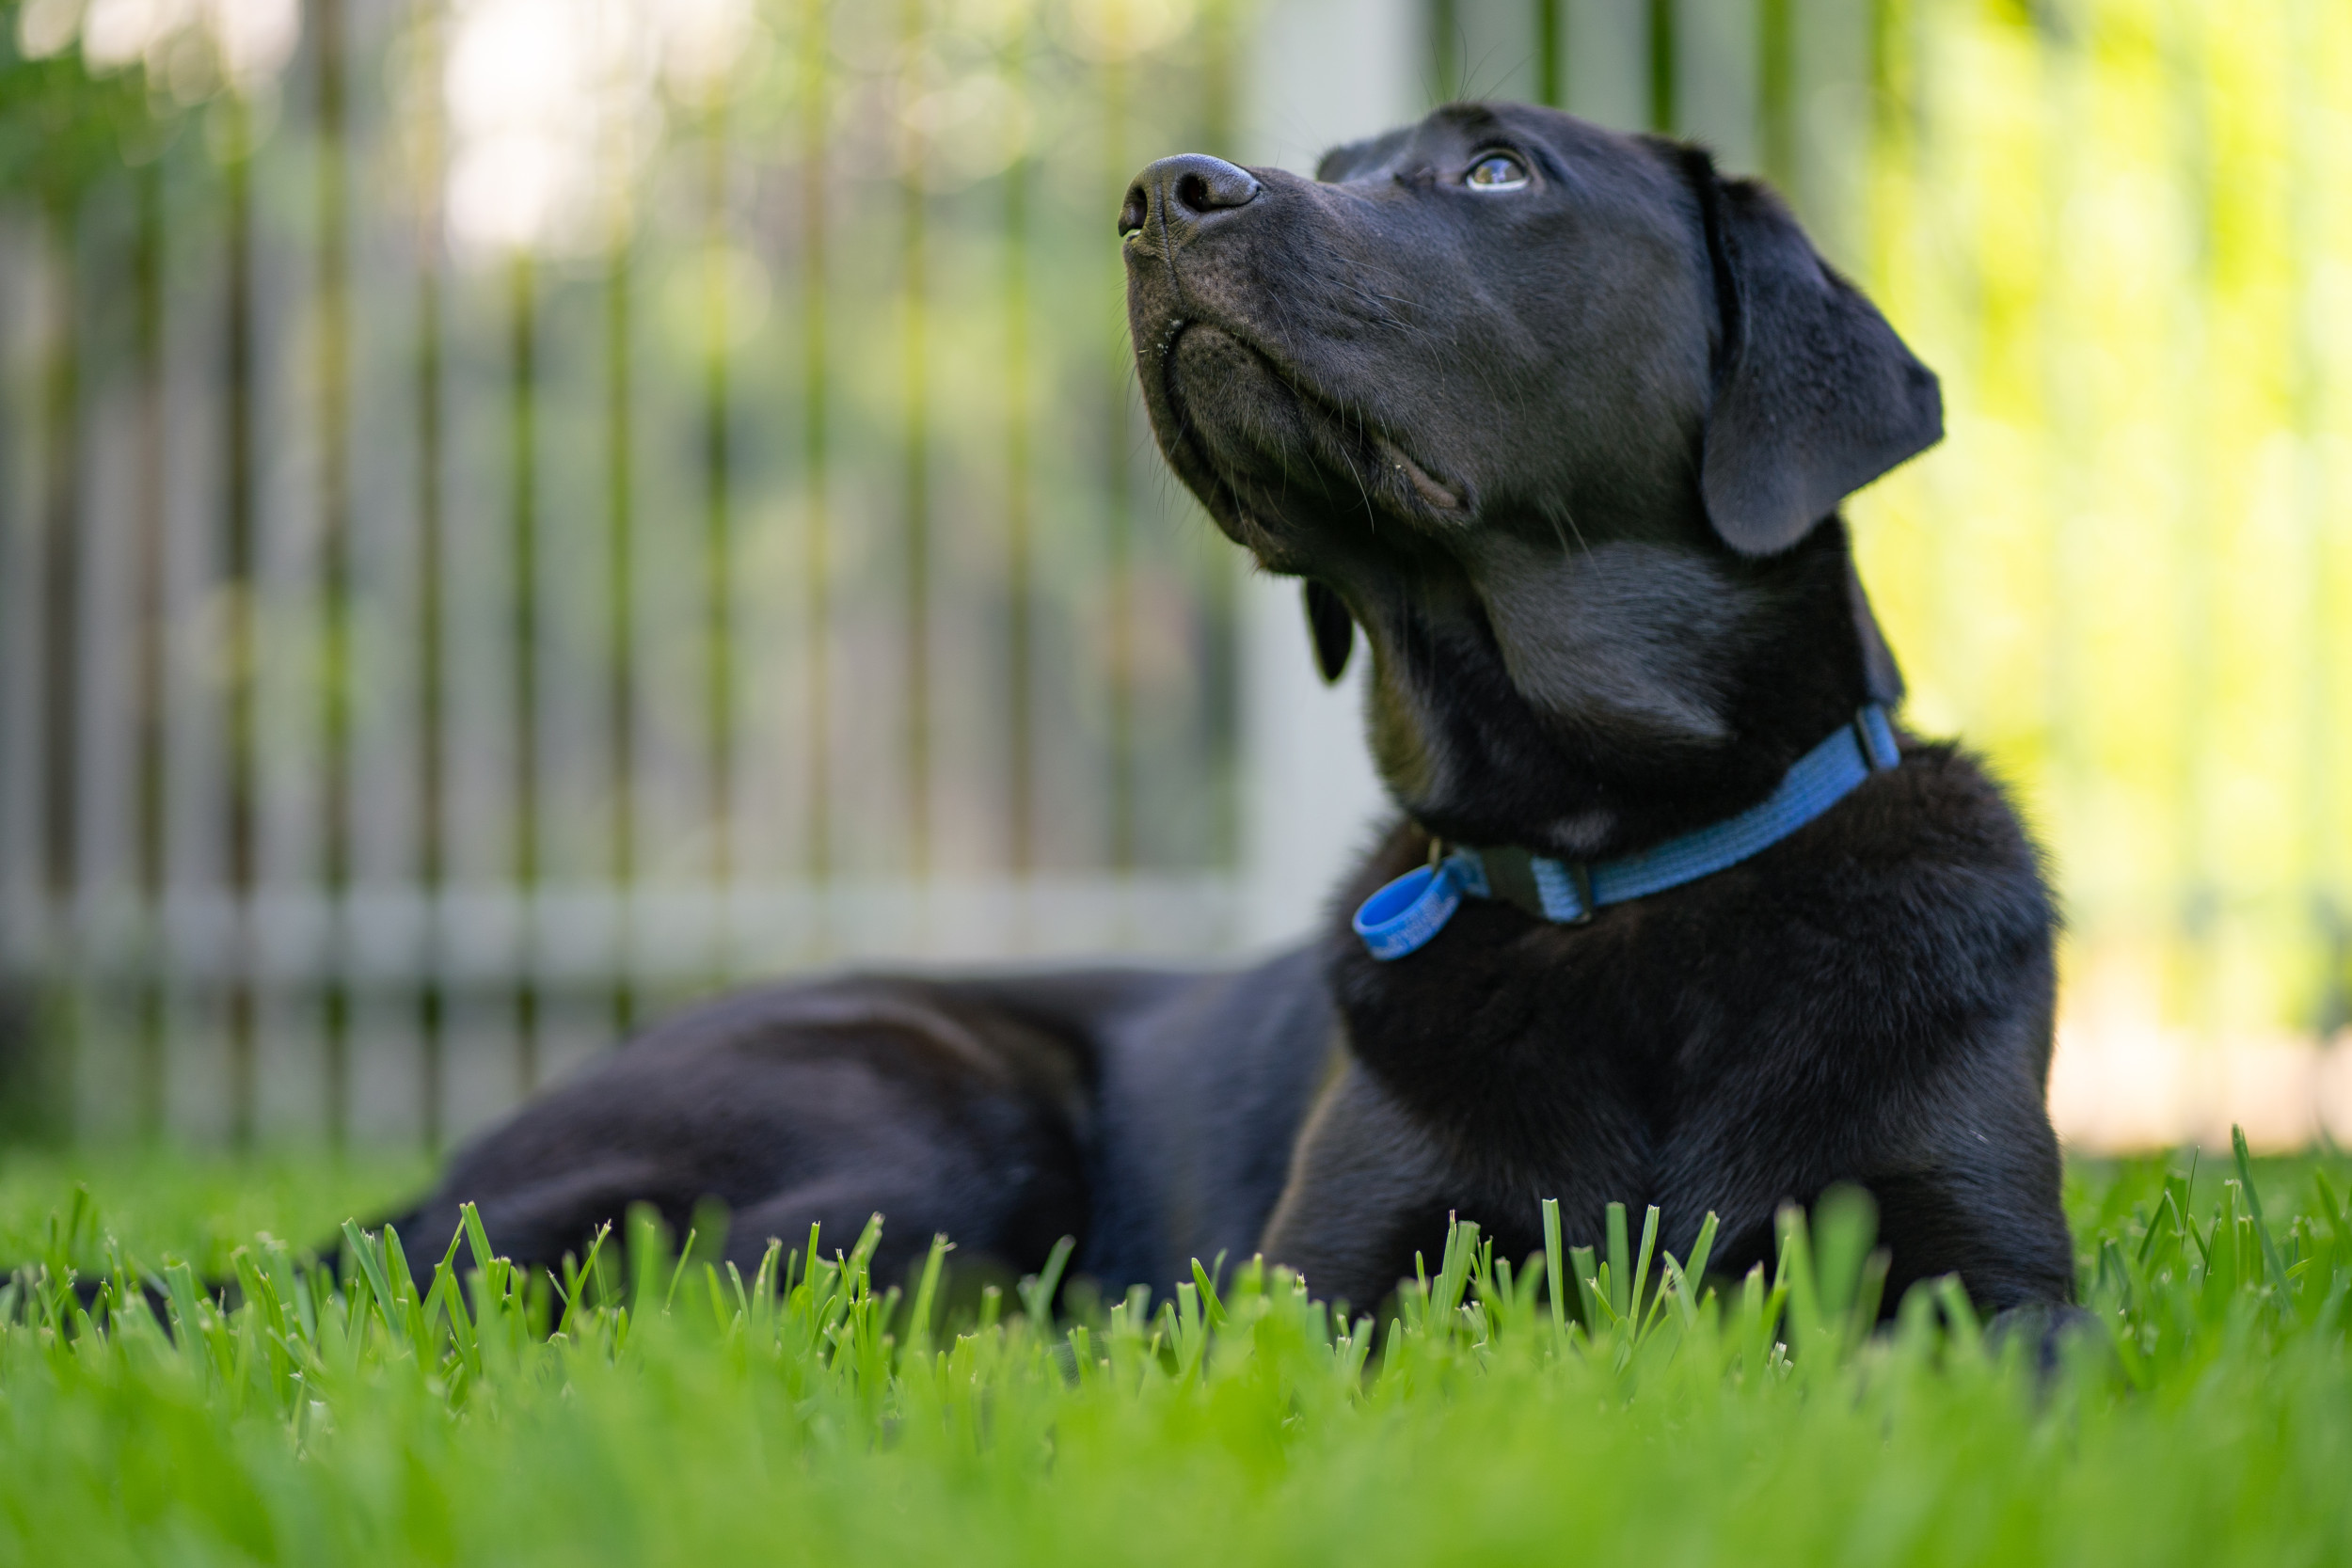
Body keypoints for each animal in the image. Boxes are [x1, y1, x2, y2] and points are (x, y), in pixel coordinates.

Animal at [376, 101, 2070, 1325]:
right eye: (1331, 171)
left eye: (1499, 169)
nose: (1155, 193)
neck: (1618, 861)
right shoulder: (1328, 1277)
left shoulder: (1984, 1270)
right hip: (919, 1107)